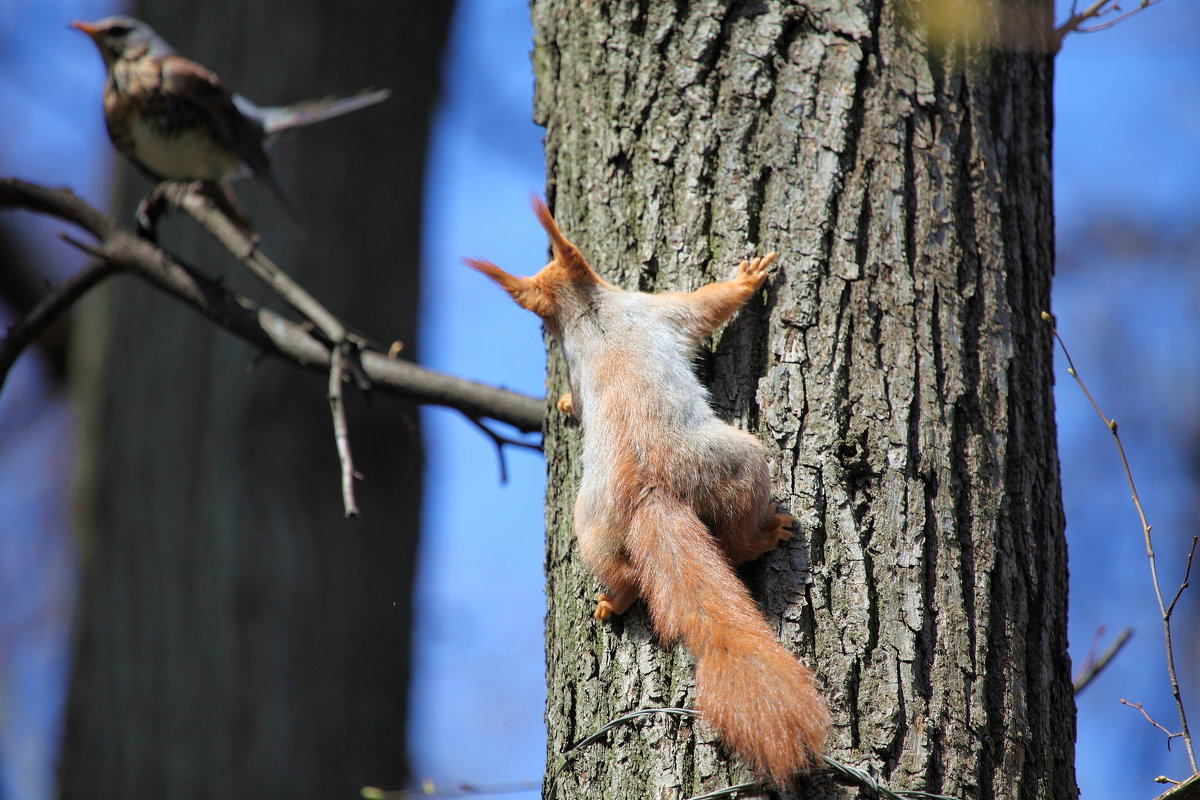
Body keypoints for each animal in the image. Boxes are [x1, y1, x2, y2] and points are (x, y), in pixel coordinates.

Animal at [463, 196, 830, 786]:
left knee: (621, 572)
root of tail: (651, 490)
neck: (588, 311)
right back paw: (766, 534)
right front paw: (748, 278)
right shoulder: (657, 310)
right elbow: (706, 306)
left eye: (540, 317)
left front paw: (565, 404)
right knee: (736, 532)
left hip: (590, 526)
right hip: (738, 462)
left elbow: (578, 396)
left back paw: (612, 600)